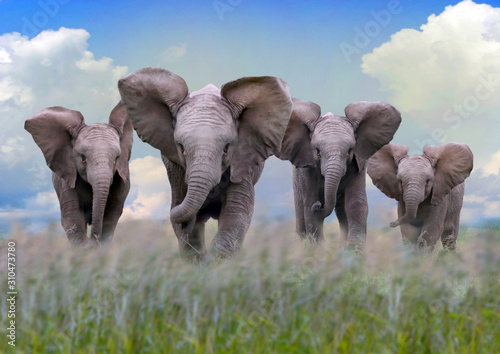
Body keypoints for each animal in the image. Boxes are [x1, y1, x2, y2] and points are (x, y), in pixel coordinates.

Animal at [24, 101, 133, 246]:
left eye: (117, 158)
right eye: (82, 157)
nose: (93, 238)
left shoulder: (121, 180)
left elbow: (111, 216)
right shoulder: (67, 178)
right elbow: (72, 216)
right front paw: (85, 248)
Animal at [117, 67, 292, 260]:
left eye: (227, 148)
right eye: (181, 147)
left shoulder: (245, 159)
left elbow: (236, 213)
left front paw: (215, 261)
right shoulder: (175, 166)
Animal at [276, 97, 400, 249]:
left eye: (349, 150)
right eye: (317, 151)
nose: (319, 205)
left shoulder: (359, 163)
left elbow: (356, 204)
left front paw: (353, 250)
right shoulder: (306, 170)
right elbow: (309, 207)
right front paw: (319, 250)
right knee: (301, 215)